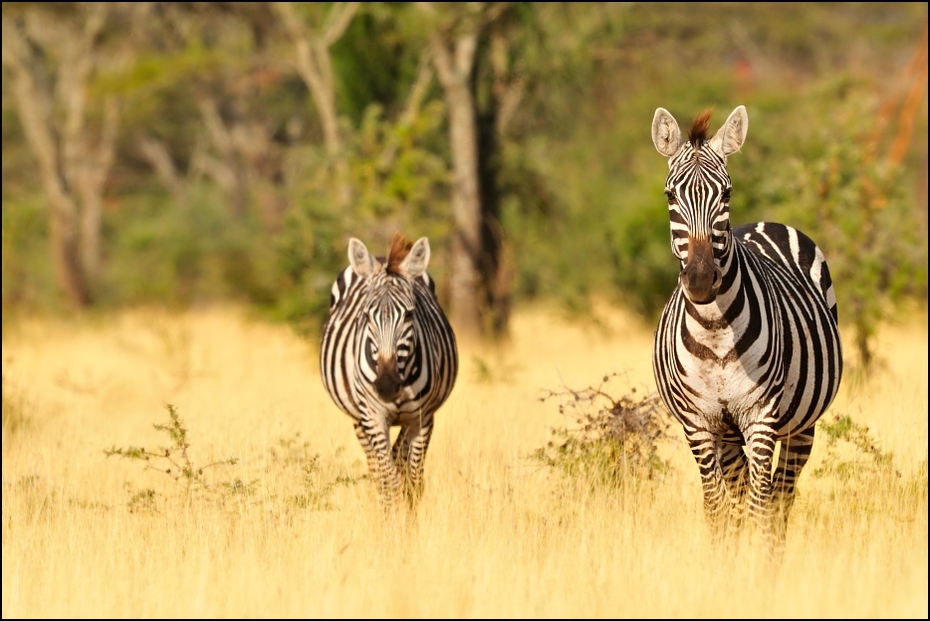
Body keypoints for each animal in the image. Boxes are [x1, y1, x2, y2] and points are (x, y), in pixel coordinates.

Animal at [320, 232, 458, 508]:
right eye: (365, 316)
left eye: (409, 315)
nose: (385, 385)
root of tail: (383, 258)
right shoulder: (372, 417)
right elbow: (389, 482)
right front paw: (393, 519)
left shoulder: (423, 418)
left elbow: (413, 482)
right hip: (358, 419)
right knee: (378, 469)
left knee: (399, 460)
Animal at [648, 105, 844, 548]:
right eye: (670, 196)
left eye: (726, 194)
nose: (700, 281)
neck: (716, 333)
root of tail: (765, 222)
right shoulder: (699, 423)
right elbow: (718, 508)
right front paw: (725, 562)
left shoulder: (761, 416)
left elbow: (760, 506)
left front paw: (757, 566)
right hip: (728, 434)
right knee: (740, 498)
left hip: (800, 426)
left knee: (780, 498)